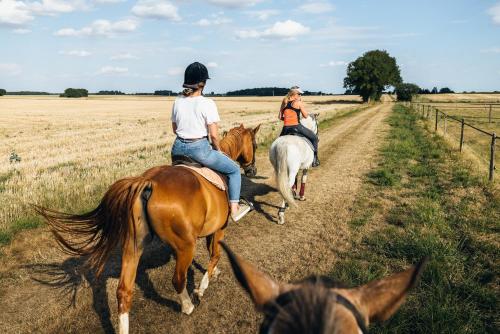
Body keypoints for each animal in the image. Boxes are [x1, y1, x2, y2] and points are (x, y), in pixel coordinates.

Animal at [35, 123, 262, 334]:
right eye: (255, 144)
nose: (253, 170)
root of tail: (148, 181)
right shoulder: (220, 228)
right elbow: (215, 254)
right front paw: (202, 288)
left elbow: (210, 252)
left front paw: (213, 273)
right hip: (185, 246)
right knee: (177, 280)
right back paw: (188, 306)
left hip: (133, 245)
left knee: (124, 291)